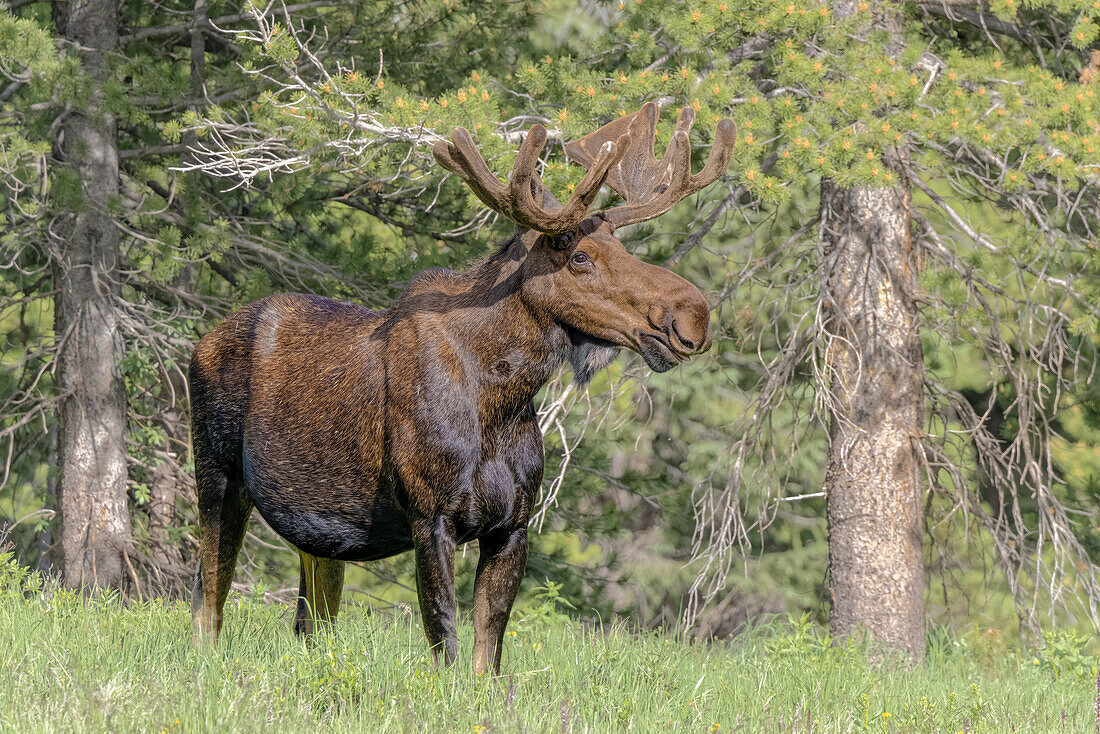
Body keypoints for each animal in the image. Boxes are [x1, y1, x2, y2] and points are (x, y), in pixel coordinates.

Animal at [191, 100, 730, 673]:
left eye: (621, 245)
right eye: (580, 256)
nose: (692, 315)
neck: (501, 399)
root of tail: (200, 343)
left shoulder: (513, 524)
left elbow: (487, 651)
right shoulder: (431, 515)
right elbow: (445, 636)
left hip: (320, 533)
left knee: (310, 620)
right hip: (218, 475)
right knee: (207, 605)